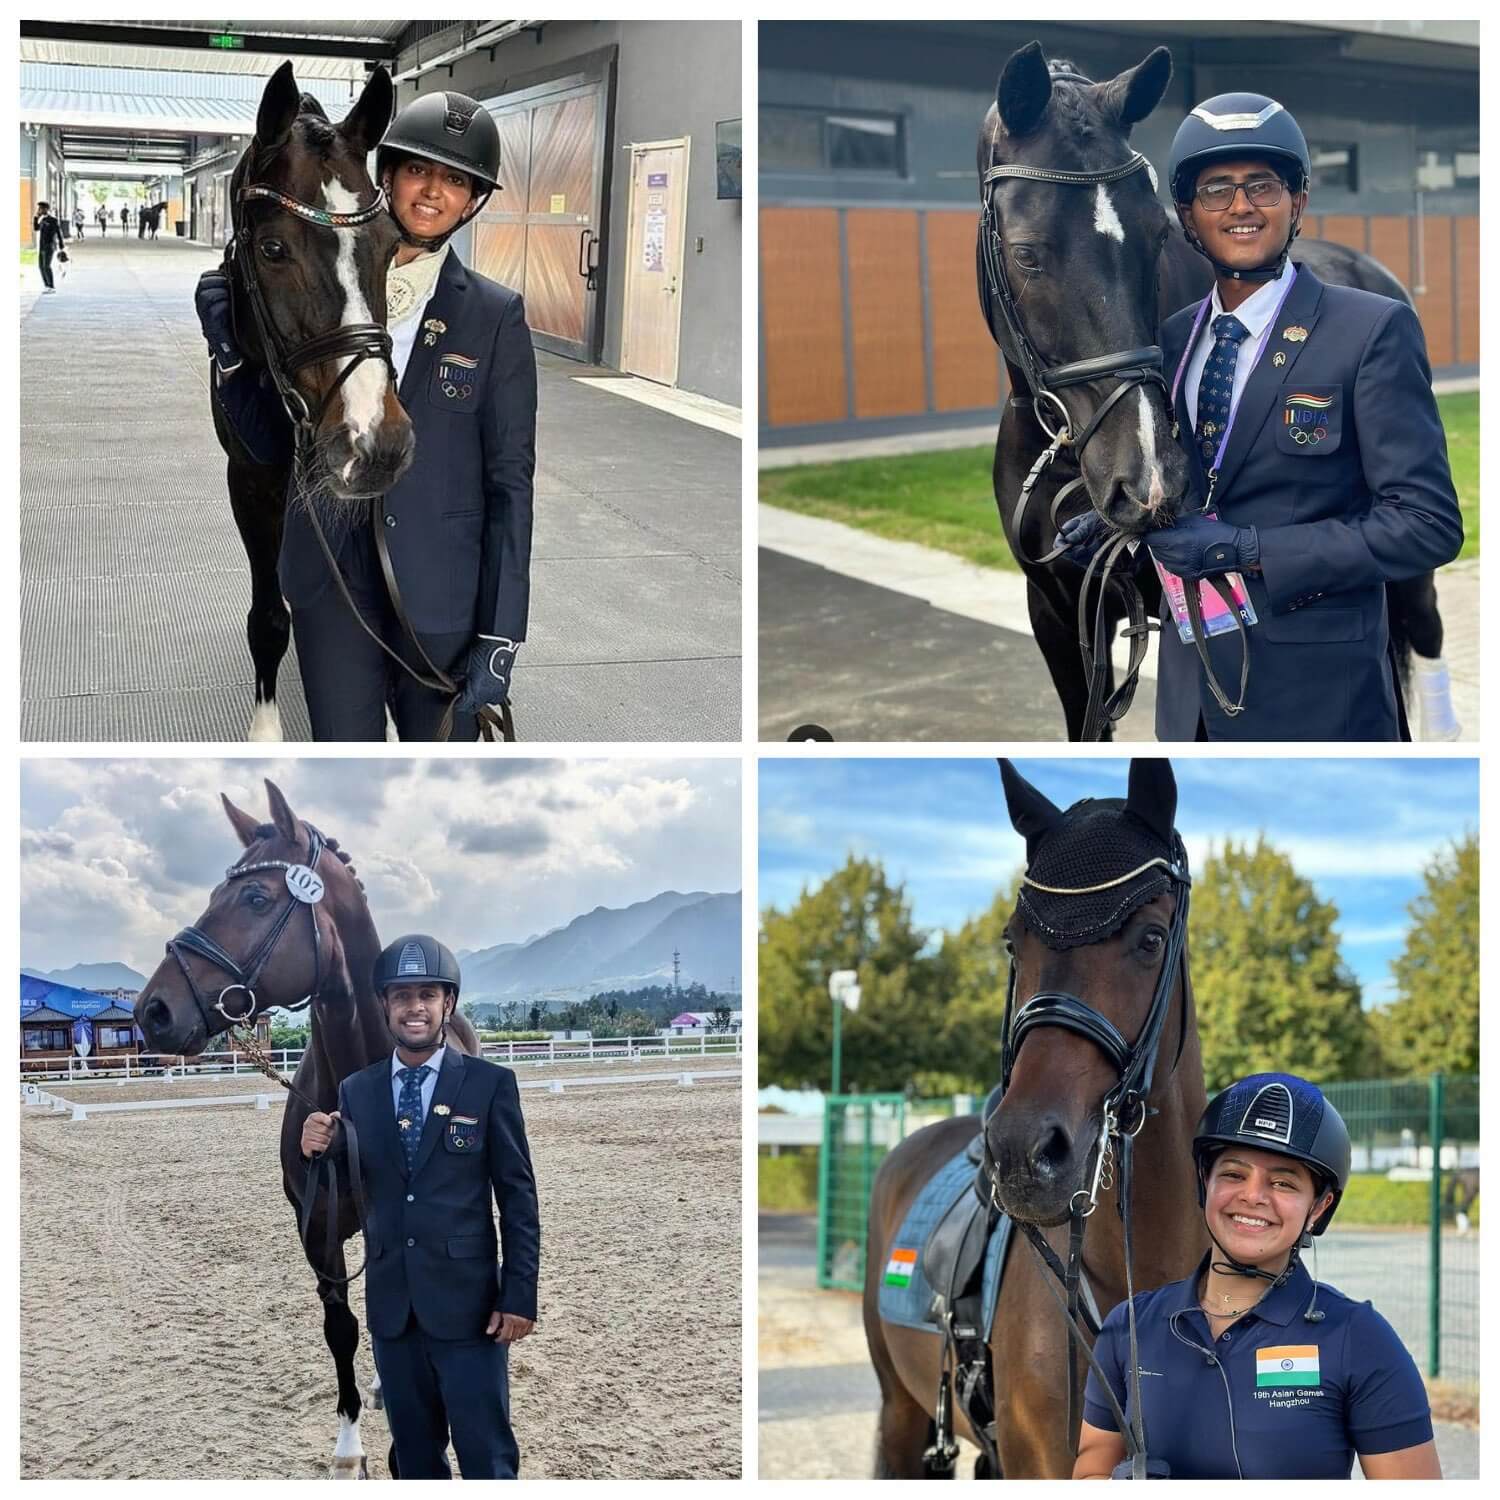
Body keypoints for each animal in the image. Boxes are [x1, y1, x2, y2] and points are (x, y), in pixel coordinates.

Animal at [214, 64, 414, 744]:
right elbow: (269, 618)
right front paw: (265, 734)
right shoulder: (252, 477)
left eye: (392, 244)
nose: (378, 440)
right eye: (272, 250)